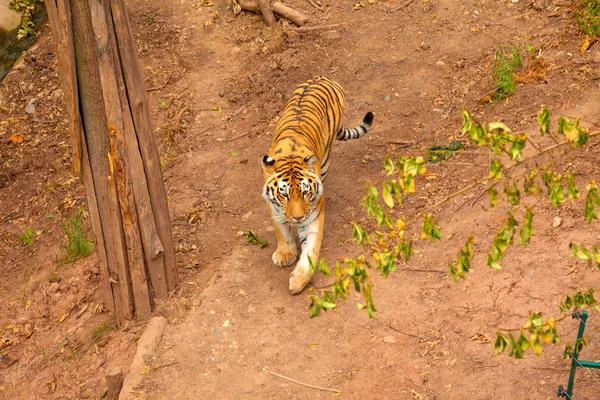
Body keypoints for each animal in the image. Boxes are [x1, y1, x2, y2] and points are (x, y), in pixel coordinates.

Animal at [260, 76, 372, 294]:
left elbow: (311, 249)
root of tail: (324, 77)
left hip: (327, 158)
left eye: (305, 193)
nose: (297, 217)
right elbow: (281, 230)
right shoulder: (273, 207)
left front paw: (298, 280)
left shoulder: (313, 216)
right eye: (284, 195)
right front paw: (285, 254)